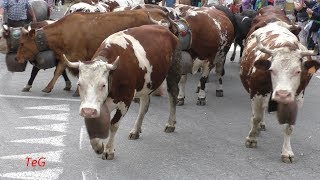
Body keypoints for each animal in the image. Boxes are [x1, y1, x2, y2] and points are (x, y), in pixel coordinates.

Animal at [15, 8, 172, 95]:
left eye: (22, 43)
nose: (16, 58)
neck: (62, 33)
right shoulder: (67, 56)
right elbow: (58, 70)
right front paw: (48, 88)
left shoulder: (79, 55)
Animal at [63, 24, 181, 160]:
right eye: (79, 84)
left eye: (103, 85)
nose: (88, 111)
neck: (113, 76)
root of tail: (165, 28)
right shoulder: (94, 105)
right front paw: (98, 146)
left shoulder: (126, 99)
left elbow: (113, 125)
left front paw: (109, 150)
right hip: (146, 84)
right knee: (144, 105)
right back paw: (136, 130)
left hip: (173, 72)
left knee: (173, 96)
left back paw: (170, 124)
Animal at [240, 7, 320, 162]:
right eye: (272, 69)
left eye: (298, 71)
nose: (282, 94)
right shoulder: (257, 92)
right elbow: (256, 117)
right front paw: (251, 138)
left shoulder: (297, 97)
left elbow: (289, 126)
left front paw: (287, 152)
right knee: (258, 112)